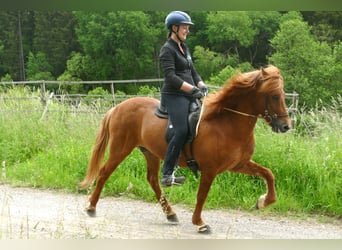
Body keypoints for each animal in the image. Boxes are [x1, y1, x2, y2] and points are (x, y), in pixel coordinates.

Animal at [79, 65, 292, 234]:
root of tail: (117, 107)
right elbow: (202, 195)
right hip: (120, 148)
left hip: (150, 153)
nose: (286, 126)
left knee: (153, 180)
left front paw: (263, 201)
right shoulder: (210, 170)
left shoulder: (239, 164)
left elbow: (268, 174)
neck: (226, 123)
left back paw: (170, 214)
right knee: (104, 172)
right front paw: (200, 223)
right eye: (274, 96)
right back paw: (91, 207)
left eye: (283, 95)